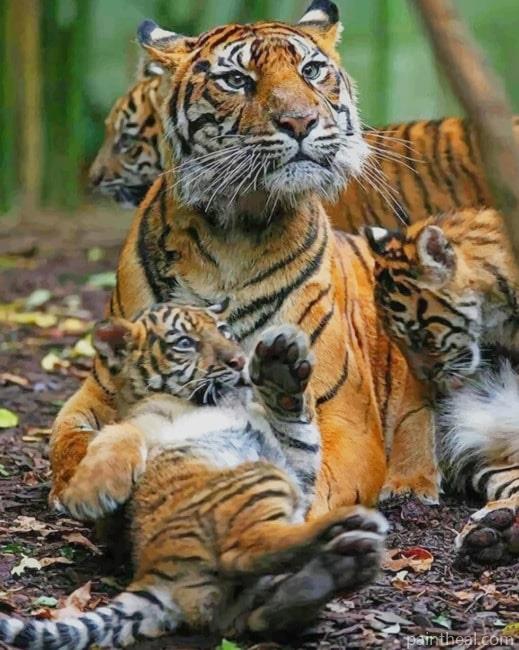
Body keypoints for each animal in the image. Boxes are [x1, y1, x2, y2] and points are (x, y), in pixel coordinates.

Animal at [0, 305, 387, 649]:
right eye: (185, 342)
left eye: (224, 330)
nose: (238, 361)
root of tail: (156, 576)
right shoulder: (145, 422)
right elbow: (119, 432)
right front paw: (88, 495)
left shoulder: (296, 466)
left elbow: (296, 423)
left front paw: (281, 365)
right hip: (259, 479)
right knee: (243, 550)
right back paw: (345, 532)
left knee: (262, 613)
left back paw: (339, 566)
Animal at [51, 0, 440, 581]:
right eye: (236, 80)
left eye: (312, 71)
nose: (300, 122)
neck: (233, 233)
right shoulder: (95, 390)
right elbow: (71, 441)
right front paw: (87, 488)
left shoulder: (344, 415)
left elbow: (316, 477)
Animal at [364, 207, 519, 566]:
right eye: (397, 339)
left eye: (421, 336)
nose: (426, 376)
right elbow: (415, 416)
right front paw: (408, 484)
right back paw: (496, 532)